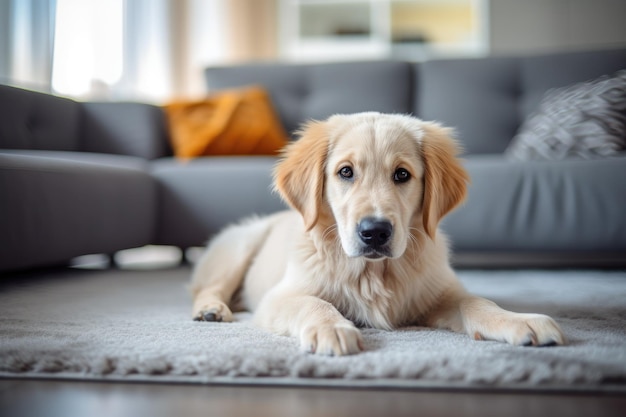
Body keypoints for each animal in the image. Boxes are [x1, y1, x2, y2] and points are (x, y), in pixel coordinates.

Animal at [188, 111, 564, 354]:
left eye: (402, 174)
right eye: (345, 172)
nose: (375, 232)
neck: (373, 272)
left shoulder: (440, 292)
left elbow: (477, 301)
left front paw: (517, 320)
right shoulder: (280, 297)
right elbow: (314, 303)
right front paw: (332, 327)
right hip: (240, 245)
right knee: (208, 286)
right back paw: (211, 310)